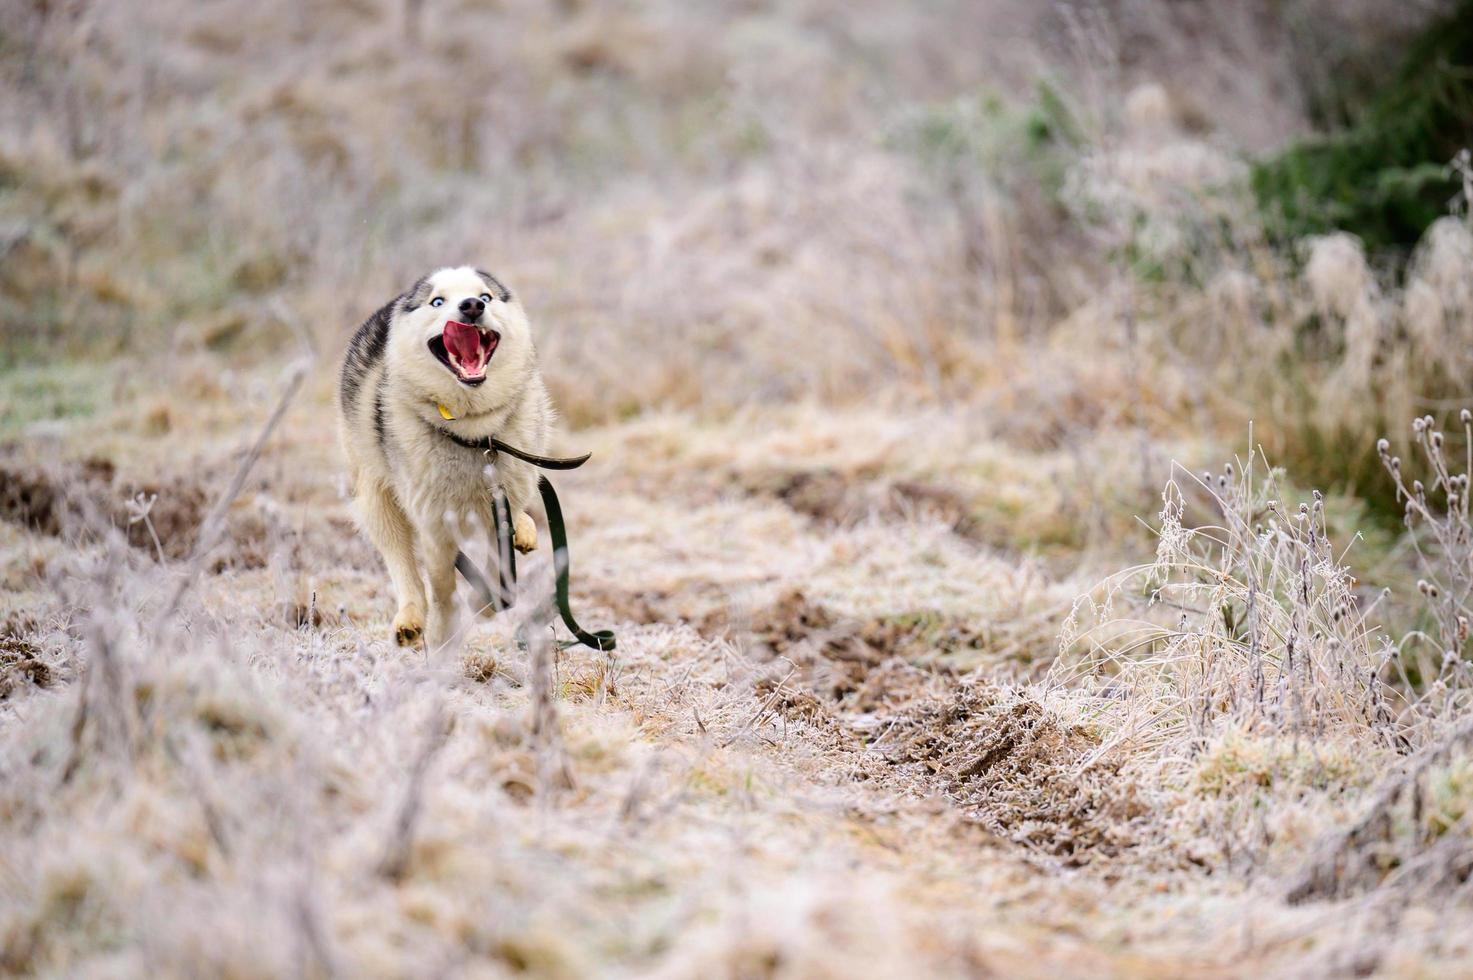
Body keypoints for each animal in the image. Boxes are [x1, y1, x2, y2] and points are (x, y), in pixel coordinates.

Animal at [338, 268, 553, 645]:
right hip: (374, 495)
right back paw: (410, 618)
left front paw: (487, 601)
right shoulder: (433, 522)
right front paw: (443, 632)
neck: (473, 434)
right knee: (400, 559)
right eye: (437, 301)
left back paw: (524, 530)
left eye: (485, 296)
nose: (471, 306)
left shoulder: (500, 504)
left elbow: (499, 568)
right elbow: (440, 586)